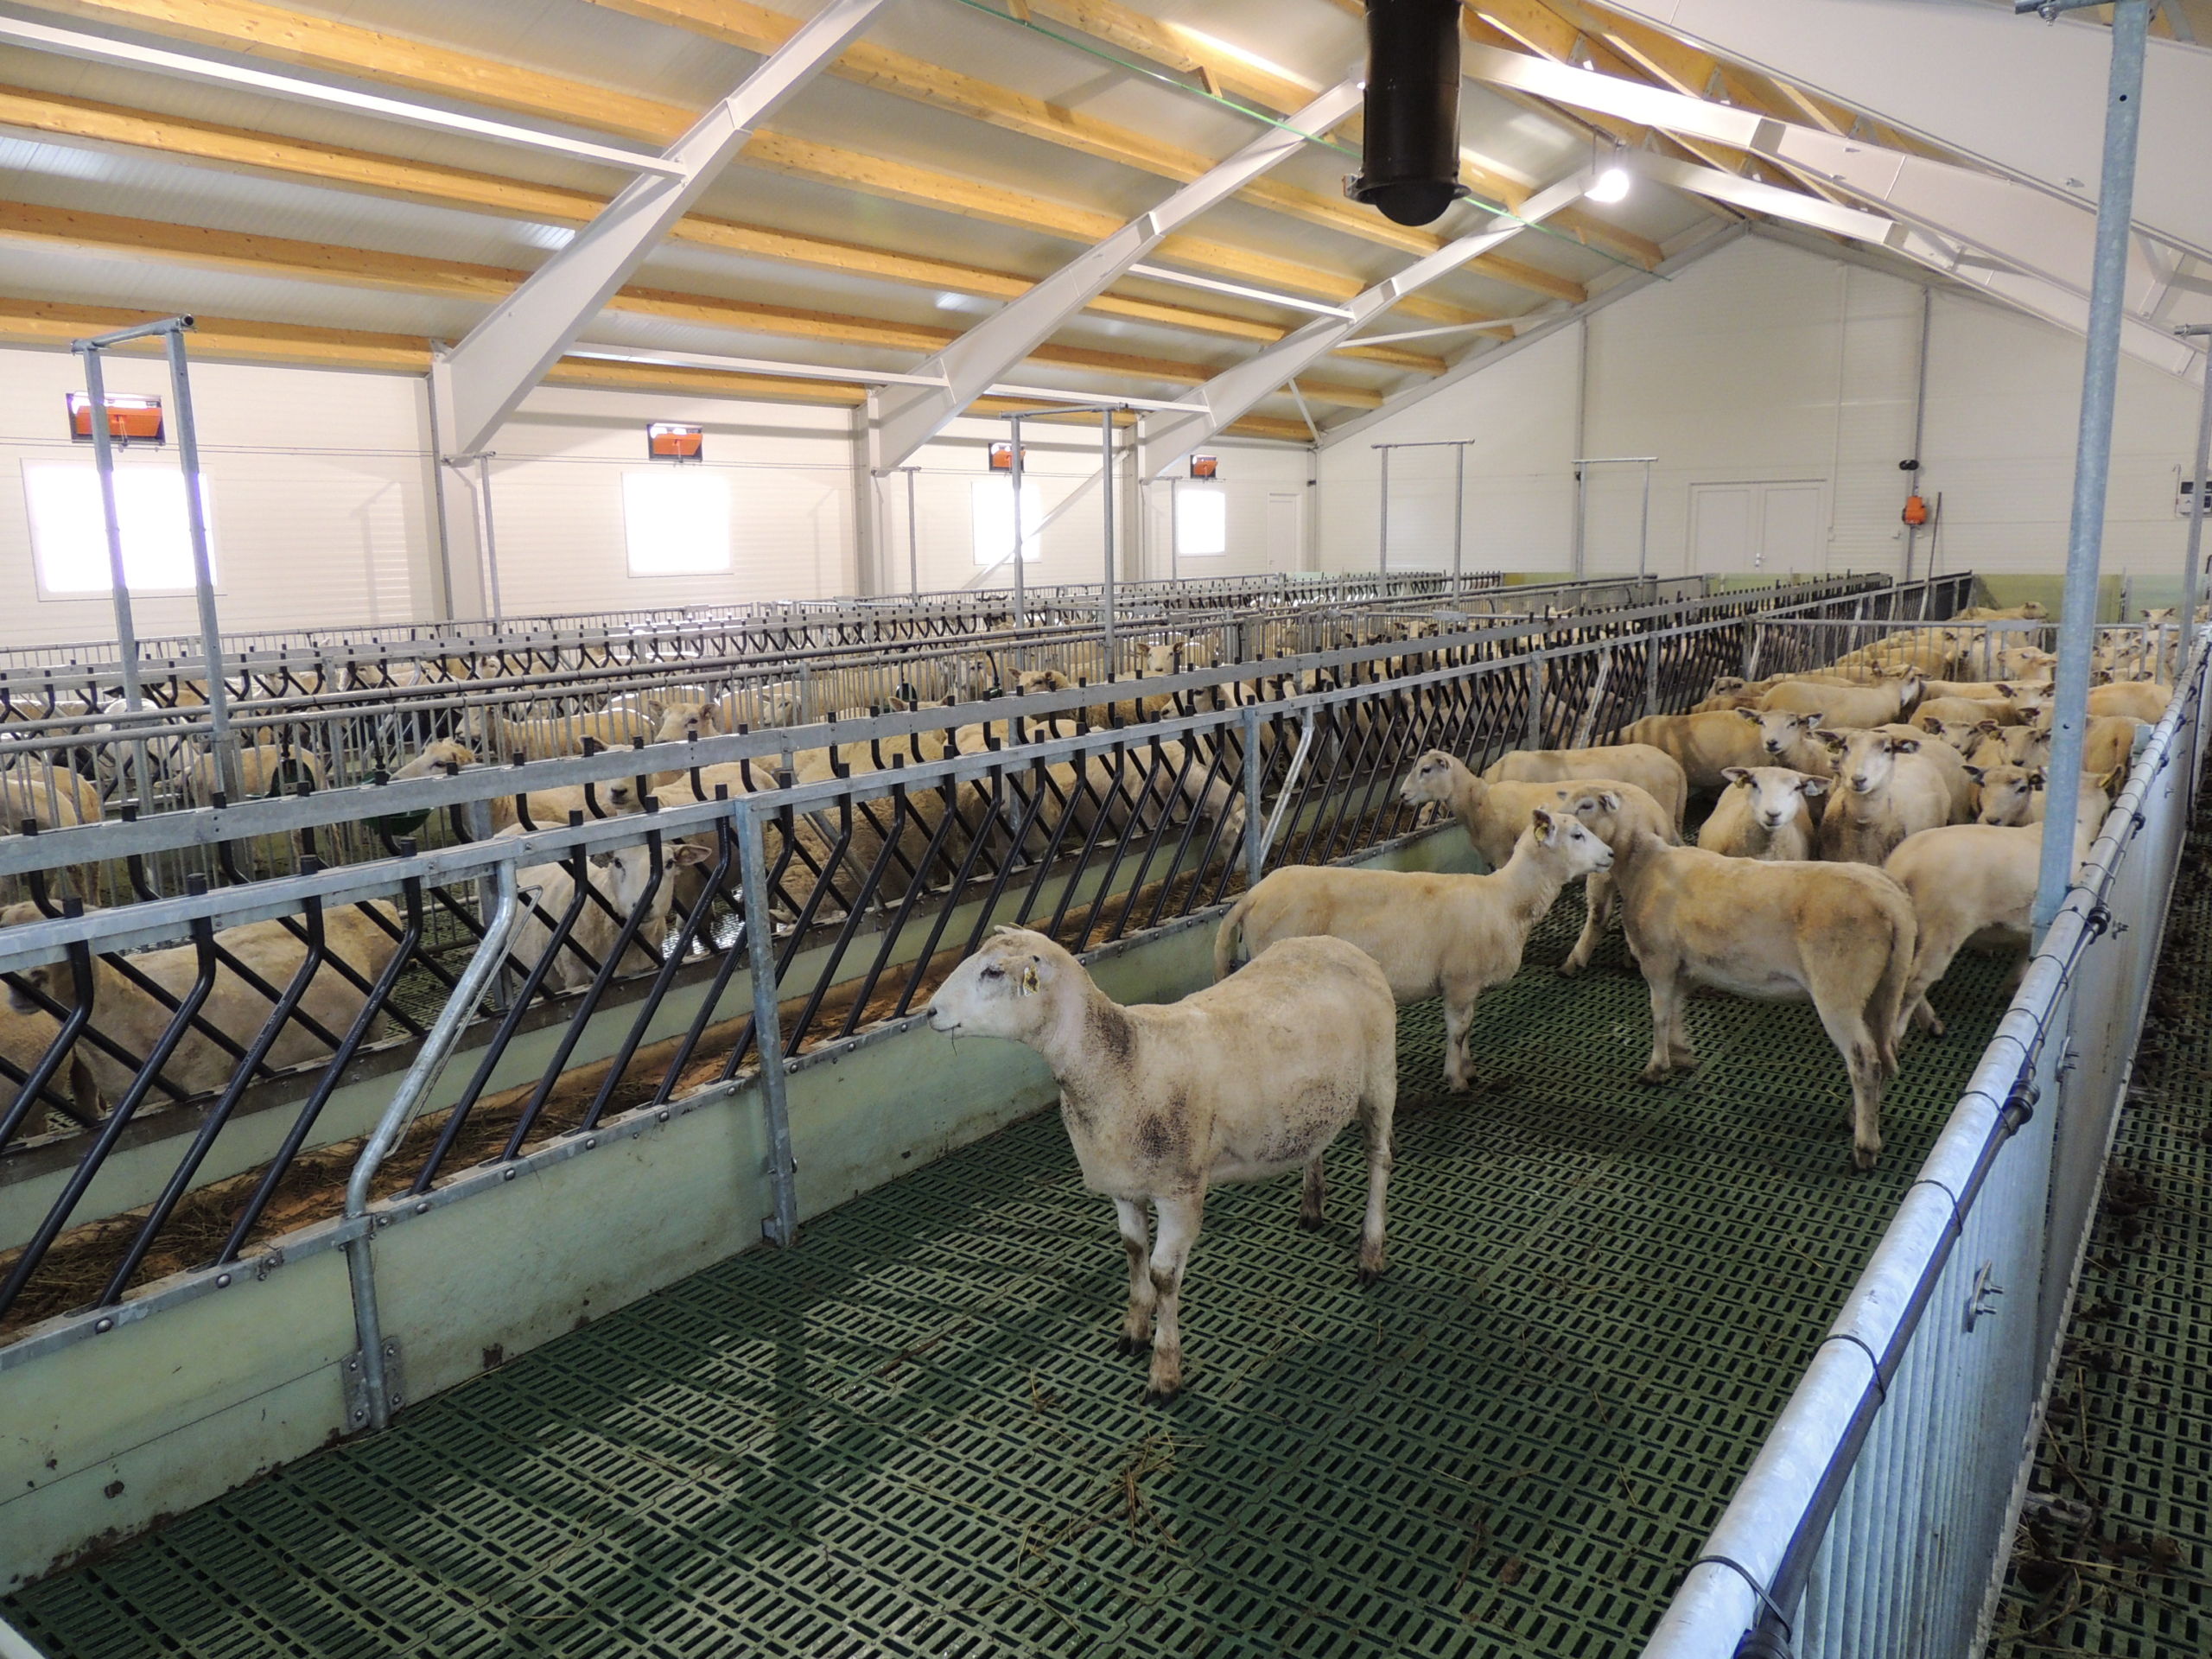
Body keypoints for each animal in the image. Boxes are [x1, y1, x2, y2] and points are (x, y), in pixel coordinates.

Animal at [925, 926, 1397, 1403]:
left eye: (992, 971)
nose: (929, 1012)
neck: (1123, 1061)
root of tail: (1337, 944)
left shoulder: (1180, 1193)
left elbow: (1163, 1275)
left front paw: (1165, 1370)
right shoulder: (1123, 1184)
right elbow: (1133, 1251)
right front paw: (1134, 1329)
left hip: (1379, 1078)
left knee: (1378, 1160)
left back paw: (1371, 1253)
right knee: (1316, 1143)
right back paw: (1312, 1206)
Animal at [1216, 807, 1612, 1092]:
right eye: (1577, 834)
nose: (1610, 853)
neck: (1507, 900)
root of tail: (1251, 895)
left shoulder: (1467, 985)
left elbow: (1468, 1027)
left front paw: (1469, 1069)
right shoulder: (1459, 979)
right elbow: (1458, 1029)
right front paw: (1456, 1079)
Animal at [1397, 749, 1672, 975]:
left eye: (1426, 769)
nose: (1402, 795)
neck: (1478, 802)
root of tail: (1654, 812)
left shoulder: (1502, 855)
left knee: (1599, 913)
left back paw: (1575, 962)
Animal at [1596, 824, 1916, 1169]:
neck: (1643, 865)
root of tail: (1893, 902)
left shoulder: (1658, 959)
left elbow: (1659, 1014)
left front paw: (1656, 1068)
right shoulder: (1684, 966)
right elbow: (1676, 1009)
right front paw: (1681, 1054)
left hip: (1839, 987)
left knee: (1865, 1061)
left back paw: (1865, 1148)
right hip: (1884, 987)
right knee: (1887, 1052)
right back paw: (1856, 1117)